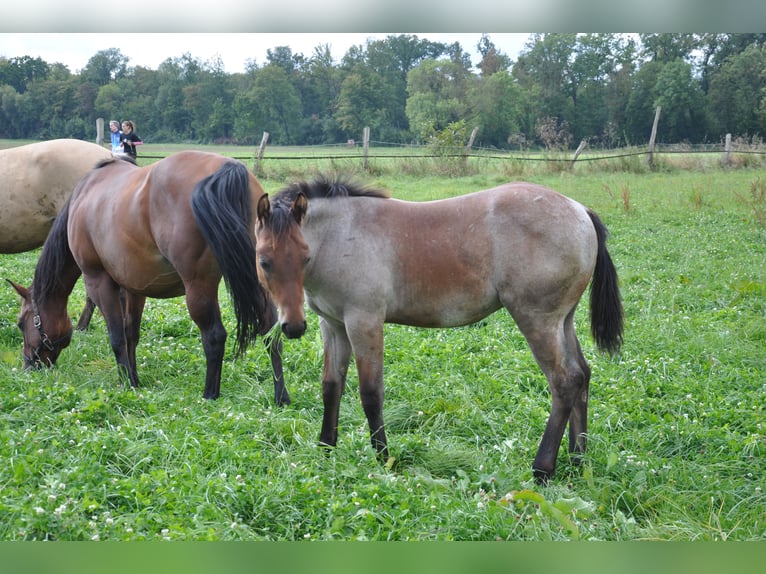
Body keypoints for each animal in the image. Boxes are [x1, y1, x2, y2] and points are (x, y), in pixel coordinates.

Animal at [8, 151, 291, 405]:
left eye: (22, 323)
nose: (28, 366)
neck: (84, 197)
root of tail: (228, 169)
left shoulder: (99, 282)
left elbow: (116, 336)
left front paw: (126, 382)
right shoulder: (135, 288)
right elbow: (131, 333)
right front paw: (134, 379)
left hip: (199, 287)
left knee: (214, 336)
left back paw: (210, 394)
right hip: (259, 282)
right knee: (271, 333)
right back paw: (281, 397)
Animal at [253, 177, 623, 482]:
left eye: (304, 257)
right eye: (264, 261)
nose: (292, 327)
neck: (342, 235)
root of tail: (580, 210)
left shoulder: (364, 321)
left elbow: (371, 393)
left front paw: (383, 457)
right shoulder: (332, 325)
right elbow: (331, 387)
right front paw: (325, 447)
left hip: (537, 320)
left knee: (564, 381)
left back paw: (543, 468)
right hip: (563, 320)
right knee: (582, 374)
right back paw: (577, 458)